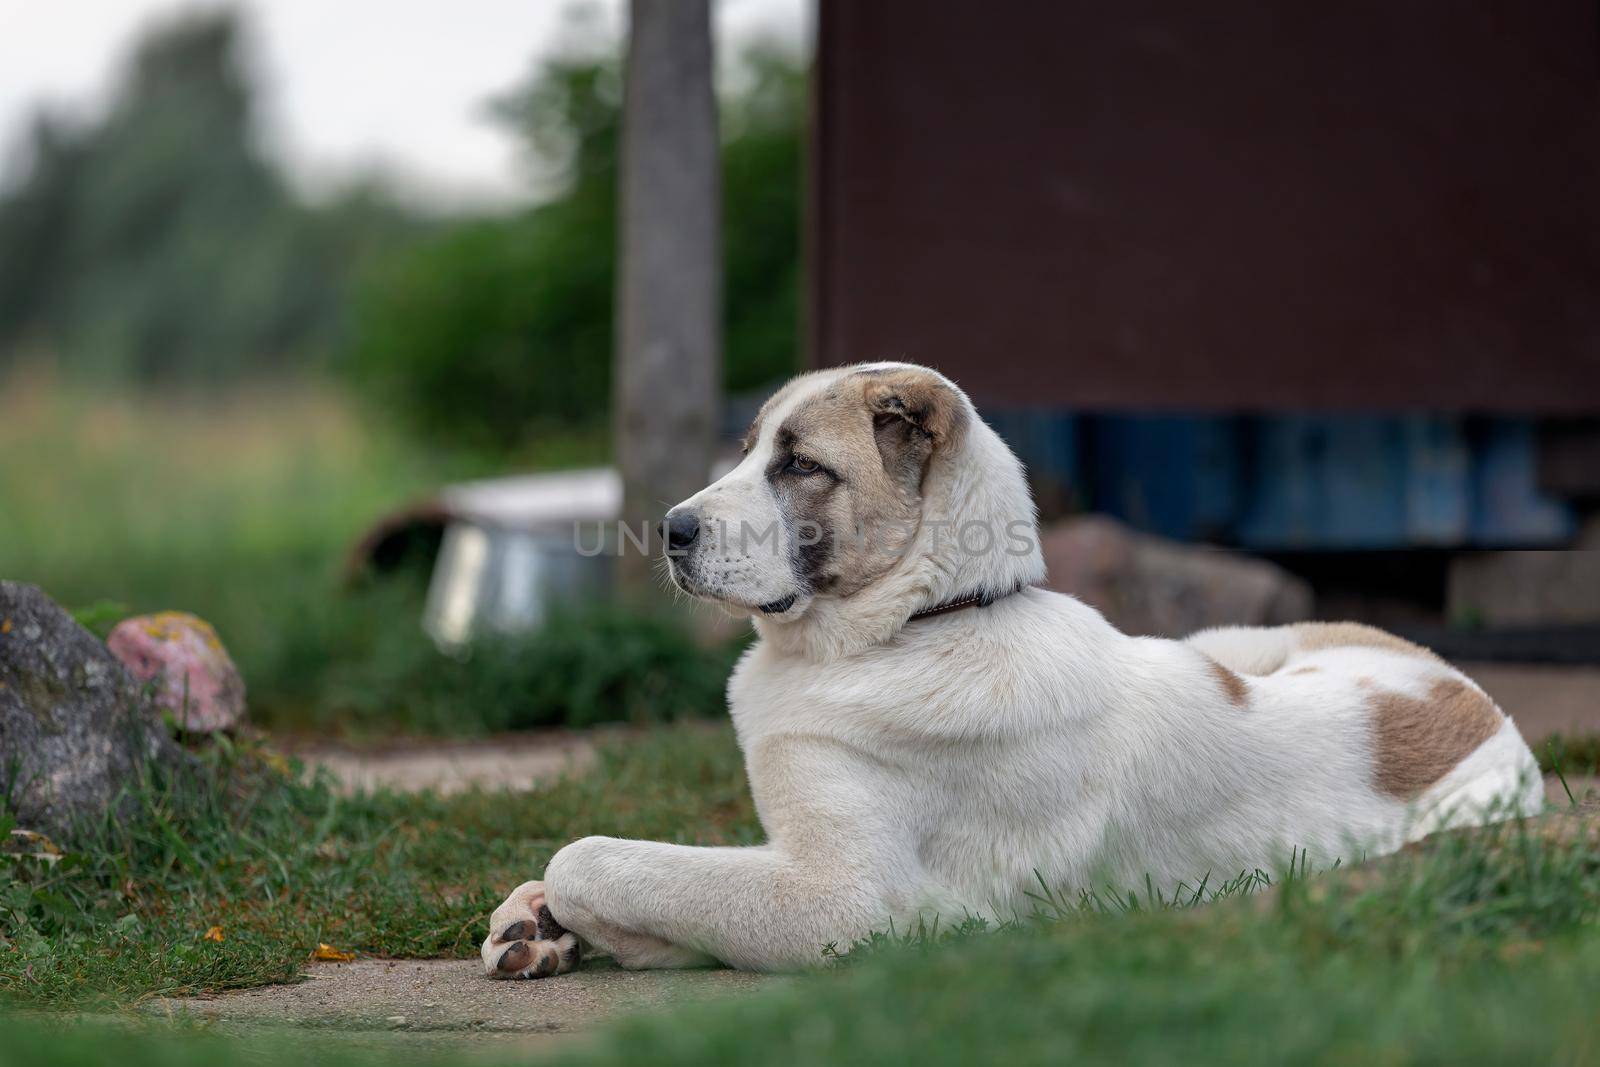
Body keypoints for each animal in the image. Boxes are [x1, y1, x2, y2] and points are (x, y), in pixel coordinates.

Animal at [480, 363, 1542, 979]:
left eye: (801, 465)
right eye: (748, 453)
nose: (669, 529)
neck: (922, 622)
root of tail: (1479, 698)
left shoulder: (840, 900)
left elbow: (600, 855)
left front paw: (575, 909)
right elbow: (655, 862)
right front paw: (535, 921)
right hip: (1238, 636)